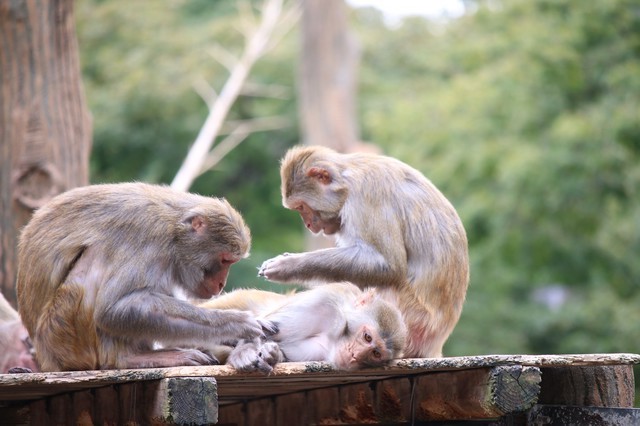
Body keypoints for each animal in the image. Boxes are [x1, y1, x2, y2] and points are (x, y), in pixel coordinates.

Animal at [16, 181, 272, 372]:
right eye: (225, 260)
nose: (221, 283)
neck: (174, 228)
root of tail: (46, 358)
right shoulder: (147, 236)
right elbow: (114, 309)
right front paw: (234, 322)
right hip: (63, 339)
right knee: (95, 260)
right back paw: (124, 360)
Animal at [202, 282, 408, 372]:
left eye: (376, 354)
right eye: (367, 337)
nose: (354, 356)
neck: (335, 332)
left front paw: (272, 355)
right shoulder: (326, 301)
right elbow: (263, 329)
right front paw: (245, 353)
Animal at [260, 146, 470, 360]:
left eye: (301, 206)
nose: (309, 224)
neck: (346, 180)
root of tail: (433, 346)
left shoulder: (365, 196)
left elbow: (388, 265)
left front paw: (288, 265)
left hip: (413, 323)